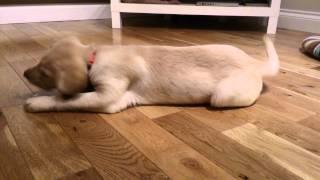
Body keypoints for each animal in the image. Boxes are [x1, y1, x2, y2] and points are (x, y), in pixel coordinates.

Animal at [23, 35, 278, 112]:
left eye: (45, 72)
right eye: (39, 62)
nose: (24, 73)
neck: (92, 58)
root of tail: (253, 63)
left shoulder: (108, 97)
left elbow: (67, 100)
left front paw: (39, 102)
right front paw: (39, 96)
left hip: (222, 96)